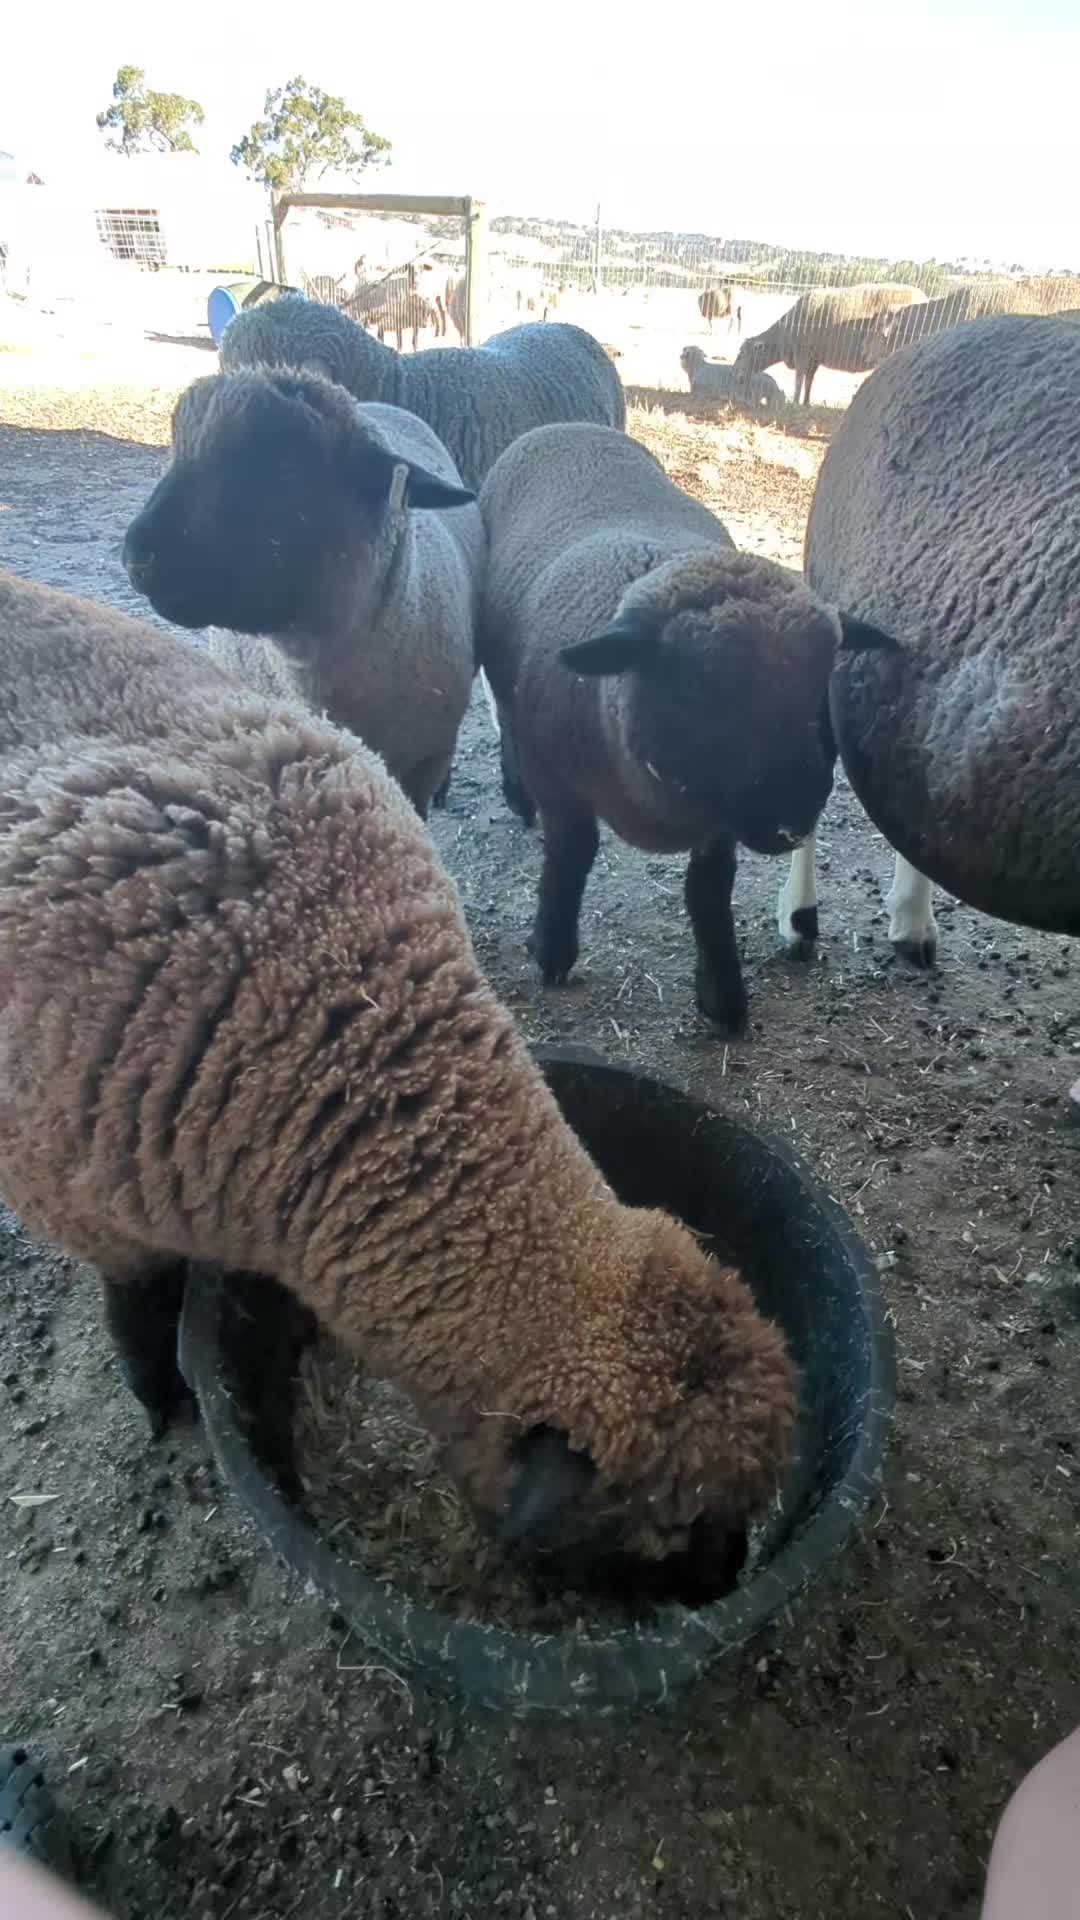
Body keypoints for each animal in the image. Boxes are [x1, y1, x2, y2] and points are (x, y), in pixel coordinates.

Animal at [477, 422, 893, 1032]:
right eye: (700, 693)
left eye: (821, 690)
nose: (792, 821)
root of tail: (569, 425)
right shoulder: (555, 778)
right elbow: (572, 853)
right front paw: (552, 950)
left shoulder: (717, 820)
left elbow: (708, 891)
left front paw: (723, 997)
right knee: (504, 719)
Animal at [735, 283, 927, 407]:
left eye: (742, 353)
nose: (736, 375)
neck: (783, 336)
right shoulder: (814, 357)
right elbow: (809, 380)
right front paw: (806, 403)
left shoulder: (802, 350)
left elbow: (799, 378)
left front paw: (794, 403)